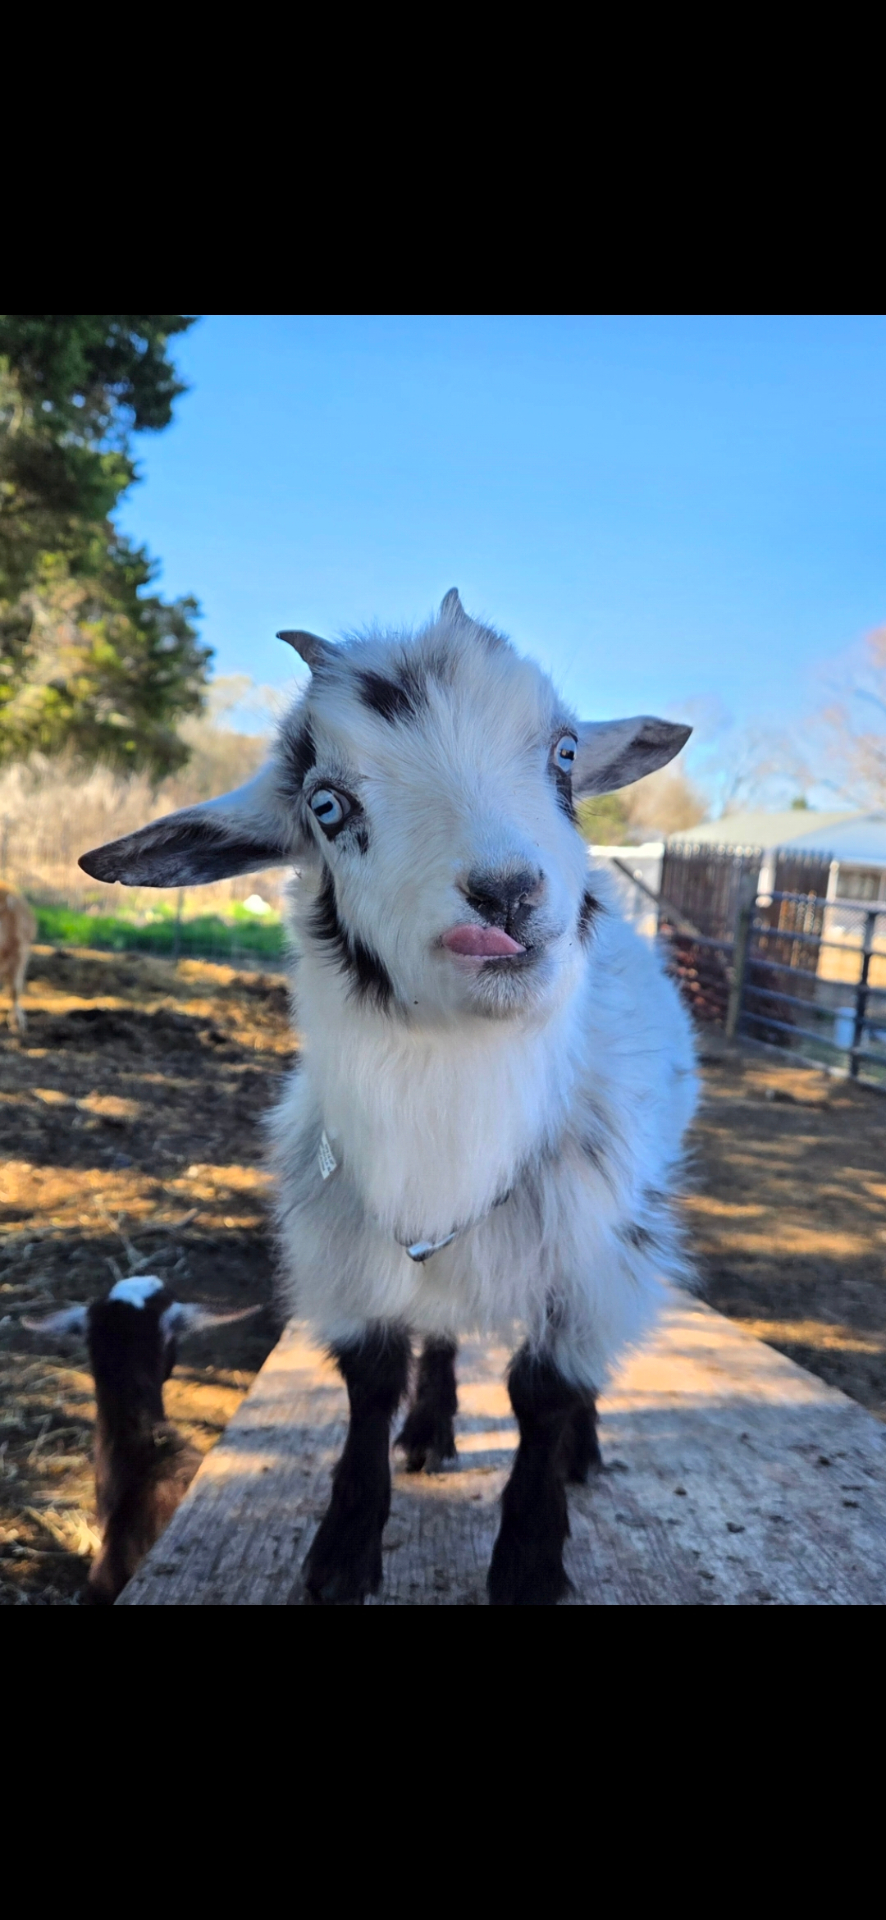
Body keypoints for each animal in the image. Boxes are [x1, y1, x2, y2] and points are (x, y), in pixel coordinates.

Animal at [78, 590, 698, 1606]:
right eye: (328, 806)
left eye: (566, 753)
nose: (507, 894)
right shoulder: (345, 1238)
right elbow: (371, 1380)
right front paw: (341, 1549)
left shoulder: (595, 1245)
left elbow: (545, 1393)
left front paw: (530, 1558)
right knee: (439, 1335)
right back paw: (432, 1431)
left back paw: (582, 1451)